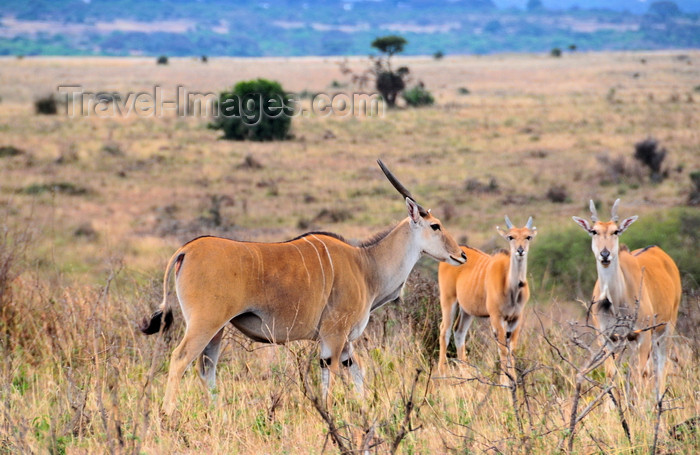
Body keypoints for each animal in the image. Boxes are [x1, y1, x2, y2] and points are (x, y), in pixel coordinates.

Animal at [139, 160, 468, 416]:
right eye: (436, 226)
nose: (462, 255)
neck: (366, 265)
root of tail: (187, 249)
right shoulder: (334, 336)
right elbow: (333, 377)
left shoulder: (342, 343)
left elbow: (356, 373)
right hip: (204, 323)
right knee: (180, 359)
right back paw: (167, 415)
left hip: (216, 330)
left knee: (206, 368)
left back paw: (217, 414)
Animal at [438, 216, 536, 382]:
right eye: (510, 237)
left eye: (528, 237)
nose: (520, 250)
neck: (511, 287)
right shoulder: (496, 317)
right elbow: (503, 349)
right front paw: (505, 381)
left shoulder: (516, 318)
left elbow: (511, 349)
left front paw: (513, 379)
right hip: (448, 300)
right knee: (445, 330)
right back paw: (442, 374)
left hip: (467, 311)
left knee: (459, 332)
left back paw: (466, 373)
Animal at [572, 200, 680, 400]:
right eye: (594, 231)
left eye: (616, 231)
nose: (605, 254)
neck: (616, 301)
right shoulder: (607, 337)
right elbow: (610, 373)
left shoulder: (643, 334)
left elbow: (642, 372)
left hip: (666, 327)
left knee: (660, 364)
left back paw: (658, 399)